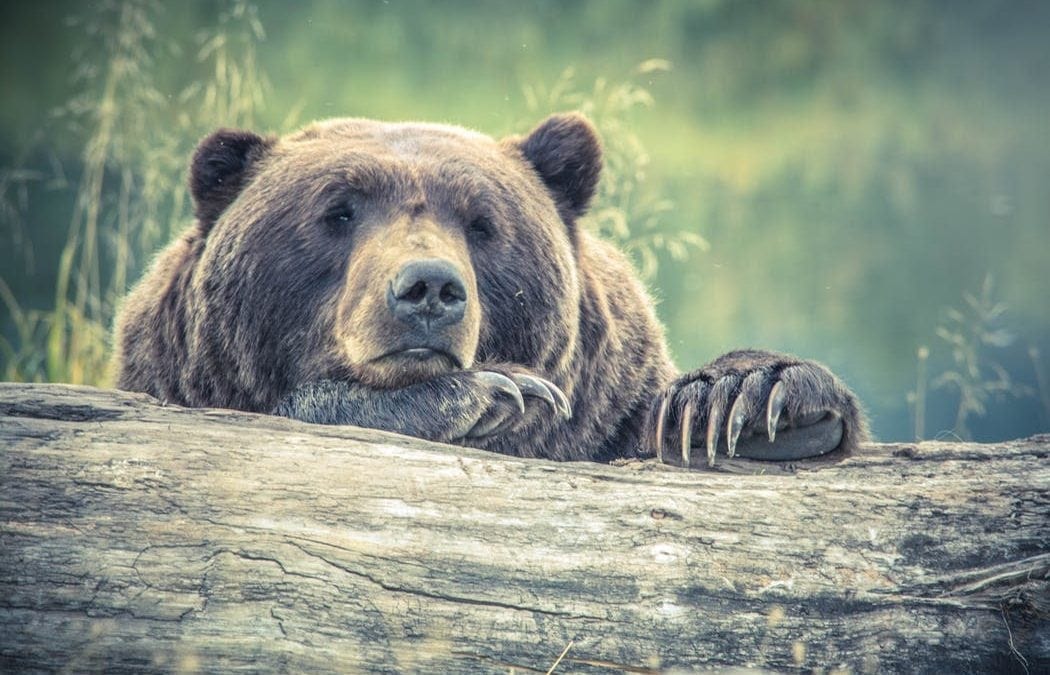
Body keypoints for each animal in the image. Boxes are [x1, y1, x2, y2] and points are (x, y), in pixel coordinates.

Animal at [113, 113, 866, 467]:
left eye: (481, 223)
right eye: (338, 211)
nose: (429, 288)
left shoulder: (607, 407)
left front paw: (743, 400)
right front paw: (493, 393)